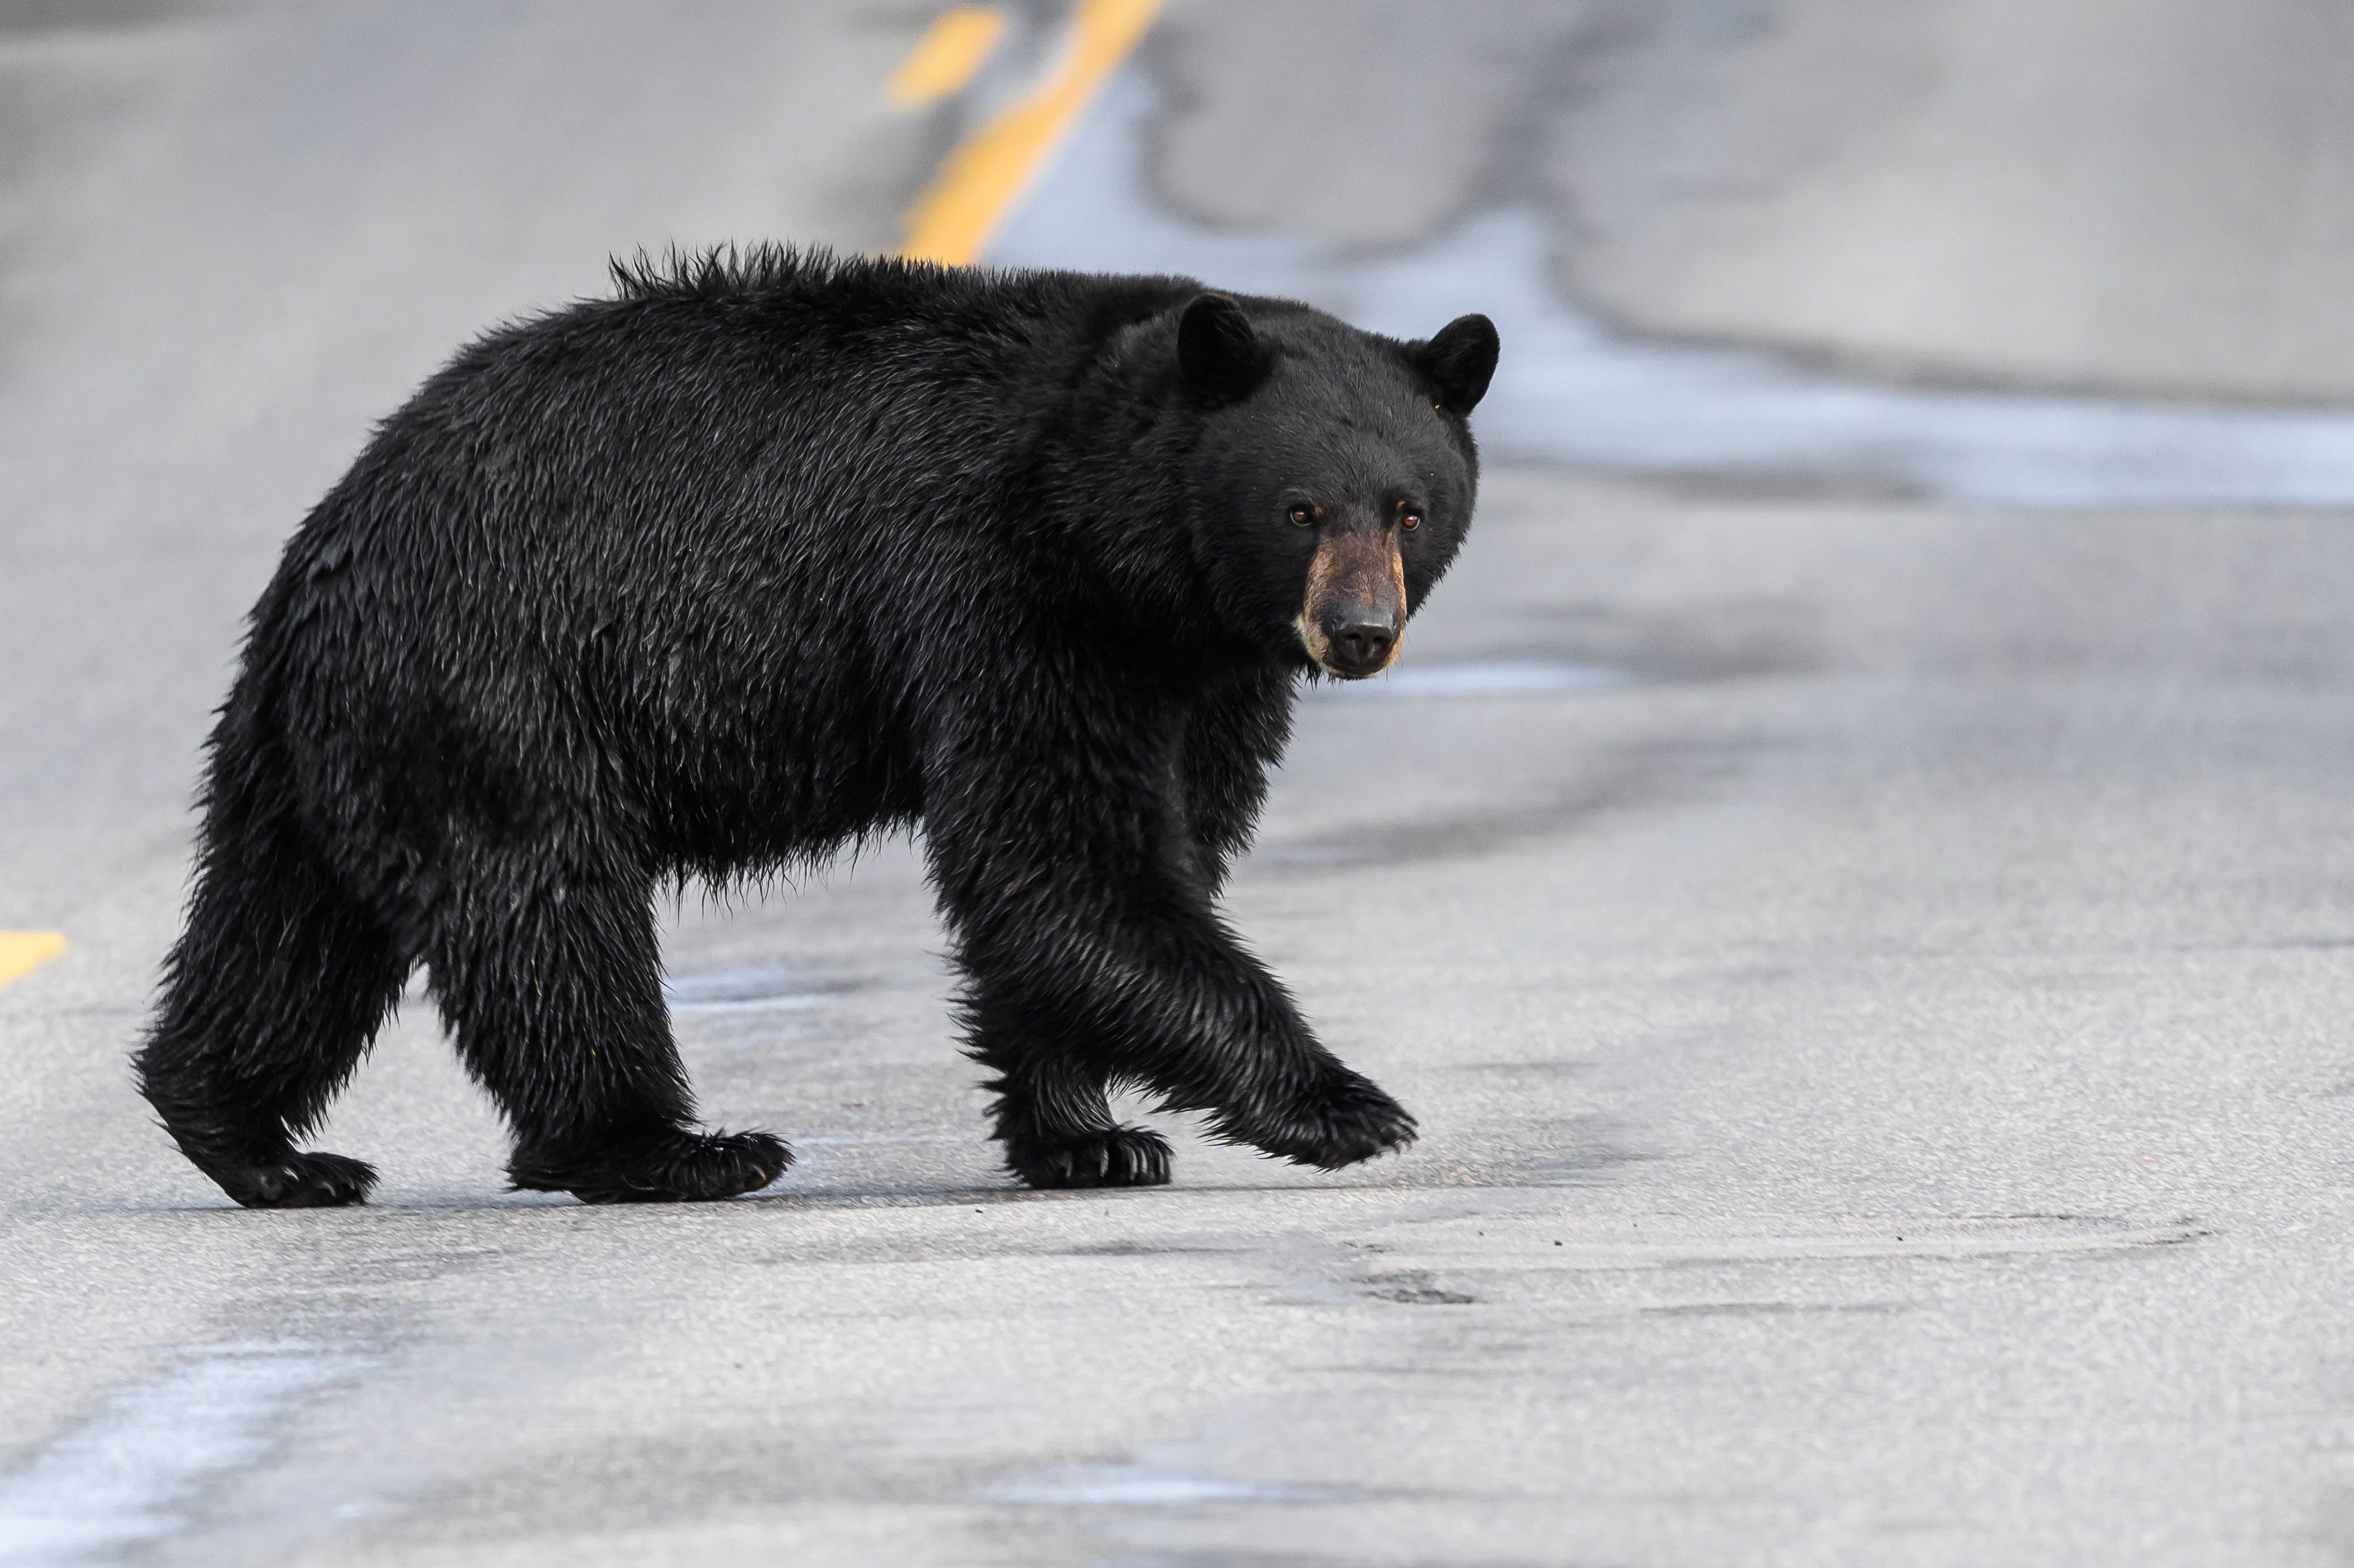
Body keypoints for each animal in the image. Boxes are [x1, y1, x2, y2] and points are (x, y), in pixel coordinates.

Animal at [134, 246, 1499, 1207]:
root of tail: (331, 537)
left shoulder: (1201, 677)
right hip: (498, 687)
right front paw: (1343, 1105)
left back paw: (254, 1143)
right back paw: (667, 1148)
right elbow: (1059, 864)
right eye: (1302, 507)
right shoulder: (1001, 596)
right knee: (544, 911)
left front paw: (1088, 1135)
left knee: (289, 926)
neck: (1118, 534)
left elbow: (1145, 855)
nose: (1359, 632)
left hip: (328, 741)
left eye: (1410, 508)